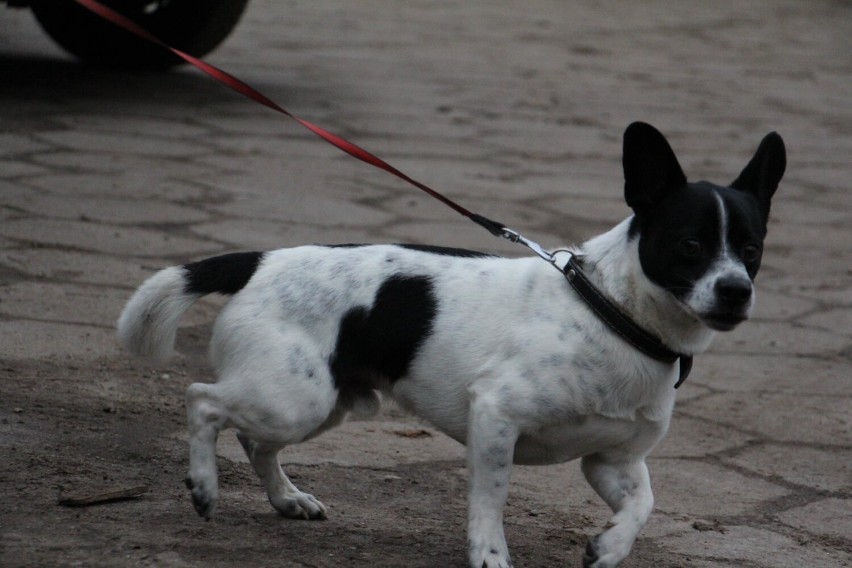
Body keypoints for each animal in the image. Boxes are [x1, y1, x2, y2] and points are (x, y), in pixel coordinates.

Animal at [118, 124, 784, 568]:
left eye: (752, 250)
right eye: (690, 245)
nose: (735, 291)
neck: (614, 311)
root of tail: (260, 260)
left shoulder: (611, 462)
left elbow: (644, 505)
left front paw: (609, 547)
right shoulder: (496, 418)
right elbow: (490, 500)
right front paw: (490, 557)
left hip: (319, 404)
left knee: (255, 442)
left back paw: (287, 500)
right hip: (292, 400)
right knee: (202, 400)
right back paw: (204, 485)